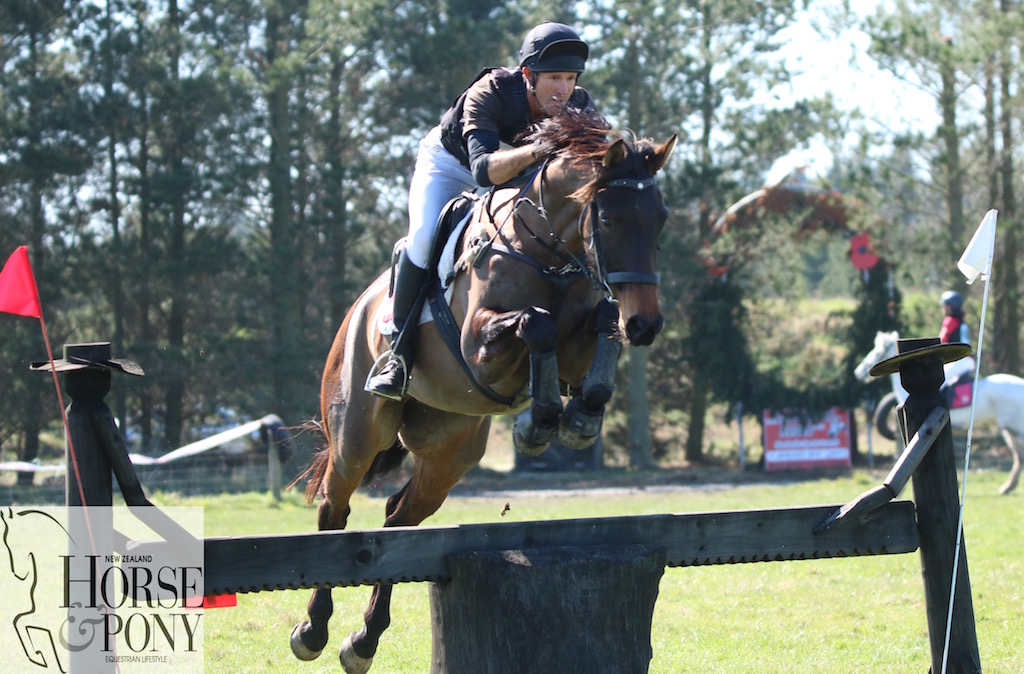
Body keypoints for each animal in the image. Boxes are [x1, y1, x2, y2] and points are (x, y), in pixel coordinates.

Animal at [288, 112, 675, 667]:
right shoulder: (479, 348)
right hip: (357, 436)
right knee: (334, 509)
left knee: (398, 519)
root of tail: (357, 310)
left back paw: (363, 640)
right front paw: (538, 423)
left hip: (449, 451)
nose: (645, 324)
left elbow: (599, 324)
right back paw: (313, 629)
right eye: (607, 220)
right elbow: (537, 324)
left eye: (660, 219)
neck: (546, 250)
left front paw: (579, 418)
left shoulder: (579, 341)